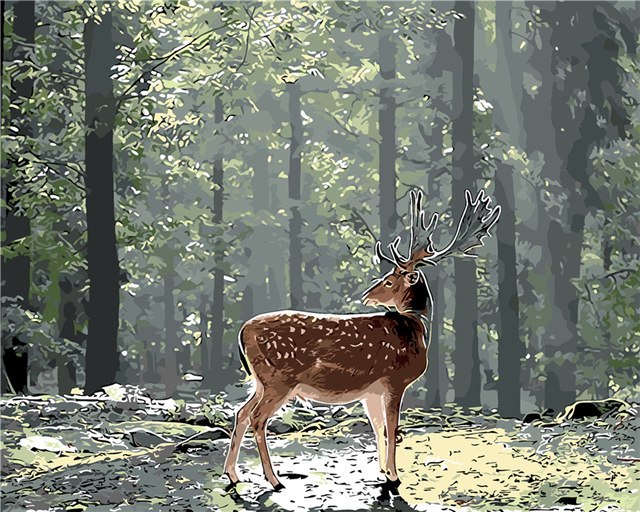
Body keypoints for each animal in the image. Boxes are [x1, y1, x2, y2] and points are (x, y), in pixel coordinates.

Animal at [224, 189, 500, 492]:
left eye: (390, 280)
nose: (367, 295)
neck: (414, 328)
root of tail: (242, 331)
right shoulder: (394, 380)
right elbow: (392, 427)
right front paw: (394, 476)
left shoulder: (372, 390)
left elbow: (379, 427)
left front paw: (382, 470)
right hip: (279, 379)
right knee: (257, 418)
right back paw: (274, 480)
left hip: (261, 381)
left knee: (240, 413)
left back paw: (233, 474)